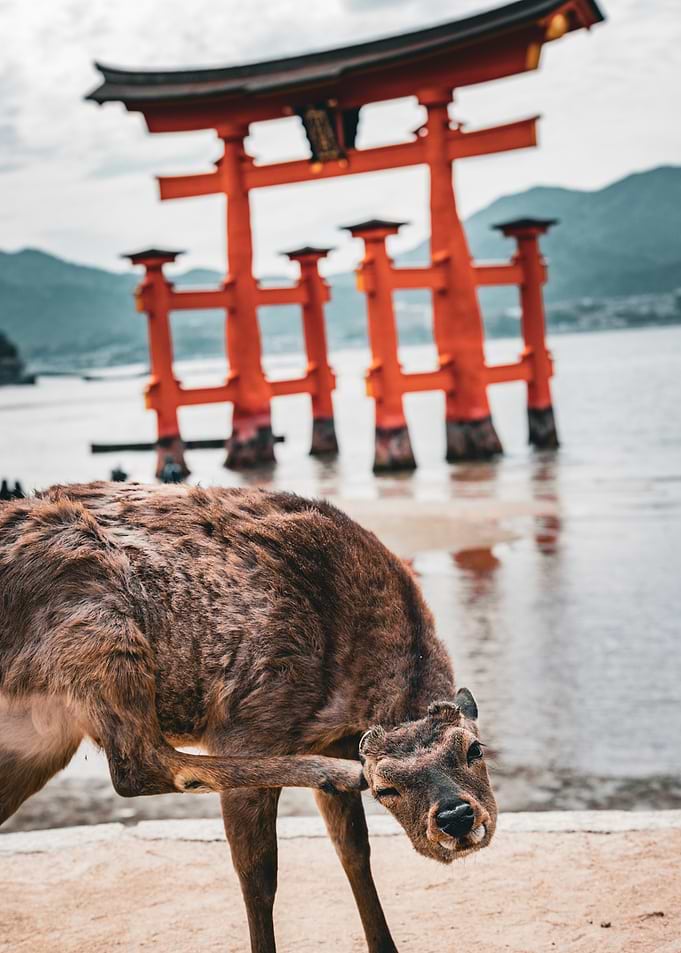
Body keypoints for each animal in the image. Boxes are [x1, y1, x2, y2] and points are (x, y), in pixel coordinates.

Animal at [0, 482, 497, 953]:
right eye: (385, 788)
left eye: (475, 748)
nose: (455, 816)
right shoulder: (252, 722)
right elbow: (258, 877)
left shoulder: (337, 737)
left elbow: (354, 851)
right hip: (98, 617)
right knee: (137, 766)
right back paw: (328, 772)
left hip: (39, 735)